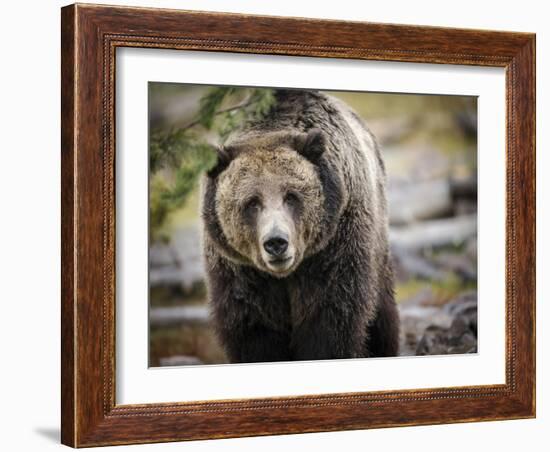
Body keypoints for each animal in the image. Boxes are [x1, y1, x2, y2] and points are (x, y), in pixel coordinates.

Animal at [201, 89, 398, 364]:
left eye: (291, 196)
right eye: (252, 202)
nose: (276, 242)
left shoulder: (334, 248)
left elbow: (329, 320)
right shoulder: (240, 271)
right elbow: (254, 329)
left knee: (383, 317)